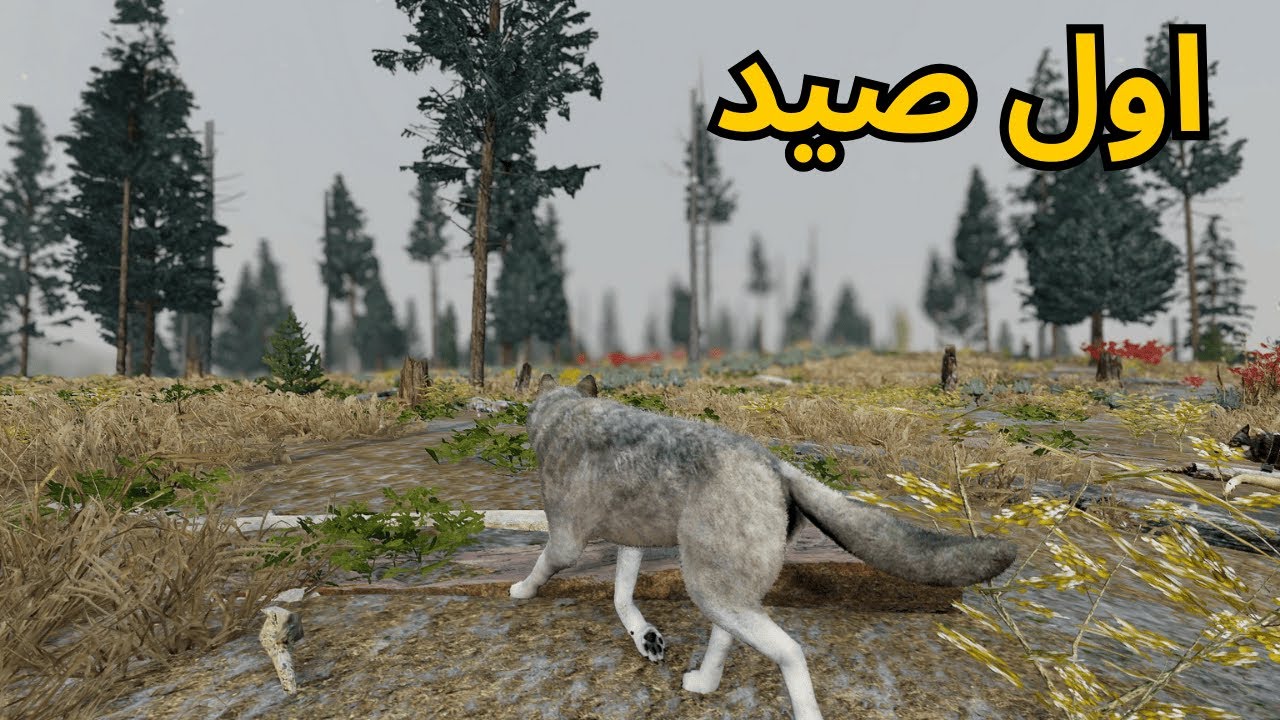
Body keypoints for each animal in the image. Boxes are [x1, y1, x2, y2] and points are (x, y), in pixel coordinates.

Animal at [510, 374, 1017, 720]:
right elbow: (621, 596)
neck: (563, 412)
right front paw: (645, 636)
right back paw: (704, 683)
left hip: (711, 587)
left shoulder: (567, 540)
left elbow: (544, 564)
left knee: (789, 651)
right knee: (726, 635)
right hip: (721, 586)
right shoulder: (631, 540)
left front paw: (521, 590)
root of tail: (777, 466)